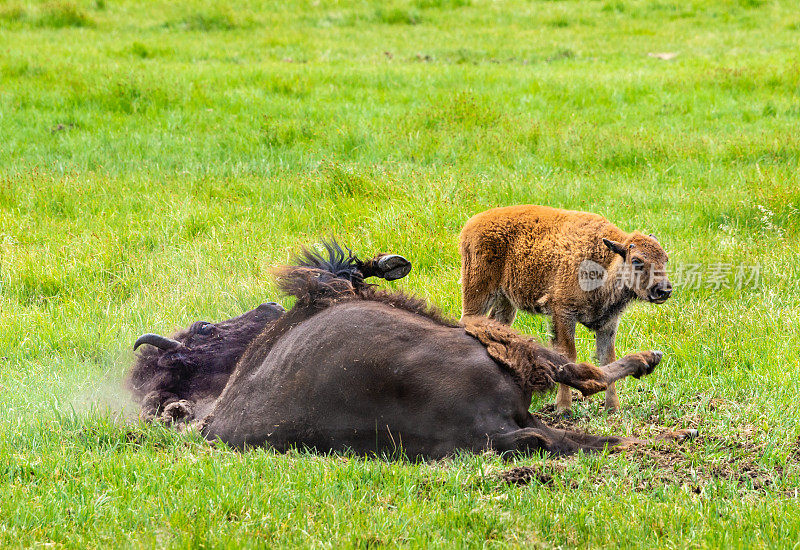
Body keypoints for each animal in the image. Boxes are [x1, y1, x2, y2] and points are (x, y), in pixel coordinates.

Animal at [460, 205, 672, 412]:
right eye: (636, 261)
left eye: (665, 258)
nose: (664, 290)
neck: (605, 261)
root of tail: (471, 224)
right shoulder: (563, 314)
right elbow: (567, 355)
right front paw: (564, 408)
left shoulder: (608, 323)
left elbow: (607, 358)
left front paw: (613, 408)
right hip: (478, 293)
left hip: (505, 302)